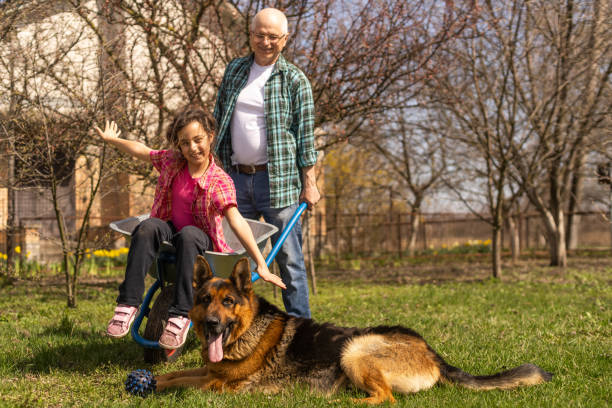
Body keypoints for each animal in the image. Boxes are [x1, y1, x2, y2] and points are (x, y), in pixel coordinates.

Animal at [154, 256, 556, 404]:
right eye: (205, 299)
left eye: (229, 302)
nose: (211, 324)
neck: (247, 331)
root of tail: (431, 352)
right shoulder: (210, 371)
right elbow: (174, 374)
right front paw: (150, 379)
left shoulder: (218, 386)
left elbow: (181, 383)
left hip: (354, 349)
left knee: (386, 398)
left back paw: (342, 401)